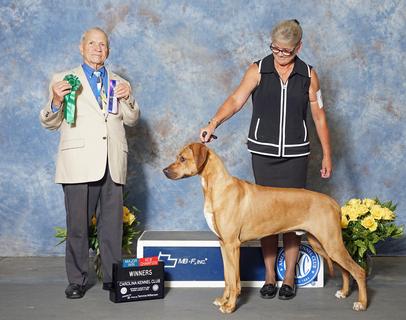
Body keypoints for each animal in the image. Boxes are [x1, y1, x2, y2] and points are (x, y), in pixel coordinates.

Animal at [163, 144, 368, 314]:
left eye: (182, 158)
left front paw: (230, 306)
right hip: (320, 243)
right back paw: (343, 292)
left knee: (358, 271)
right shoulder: (223, 244)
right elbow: (227, 278)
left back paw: (362, 303)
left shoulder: (232, 245)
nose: (164, 171)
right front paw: (223, 300)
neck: (217, 188)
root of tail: (333, 202)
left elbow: (234, 280)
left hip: (331, 243)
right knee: (345, 270)